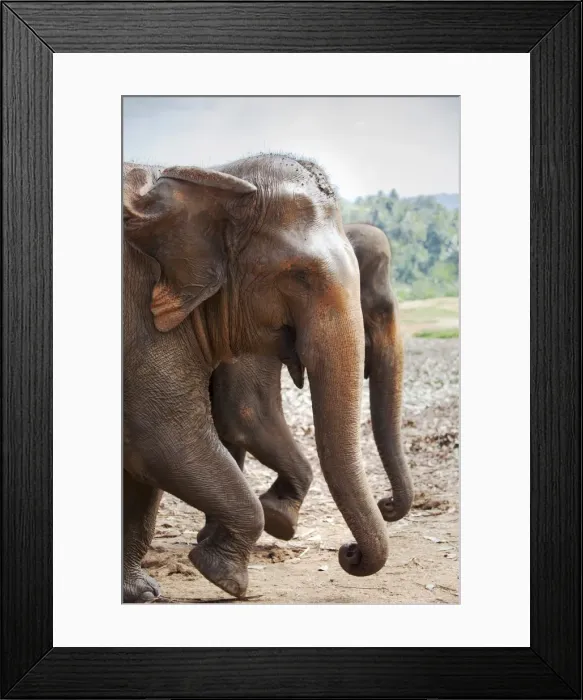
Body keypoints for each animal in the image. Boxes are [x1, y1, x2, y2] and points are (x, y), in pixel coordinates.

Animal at [123, 155, 390, 602]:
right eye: (300, 276)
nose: (348, 552)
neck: (218, 175)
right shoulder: (140, 318)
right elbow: (167, 434)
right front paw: (227, 577)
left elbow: (146, 459)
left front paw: (142, 593)